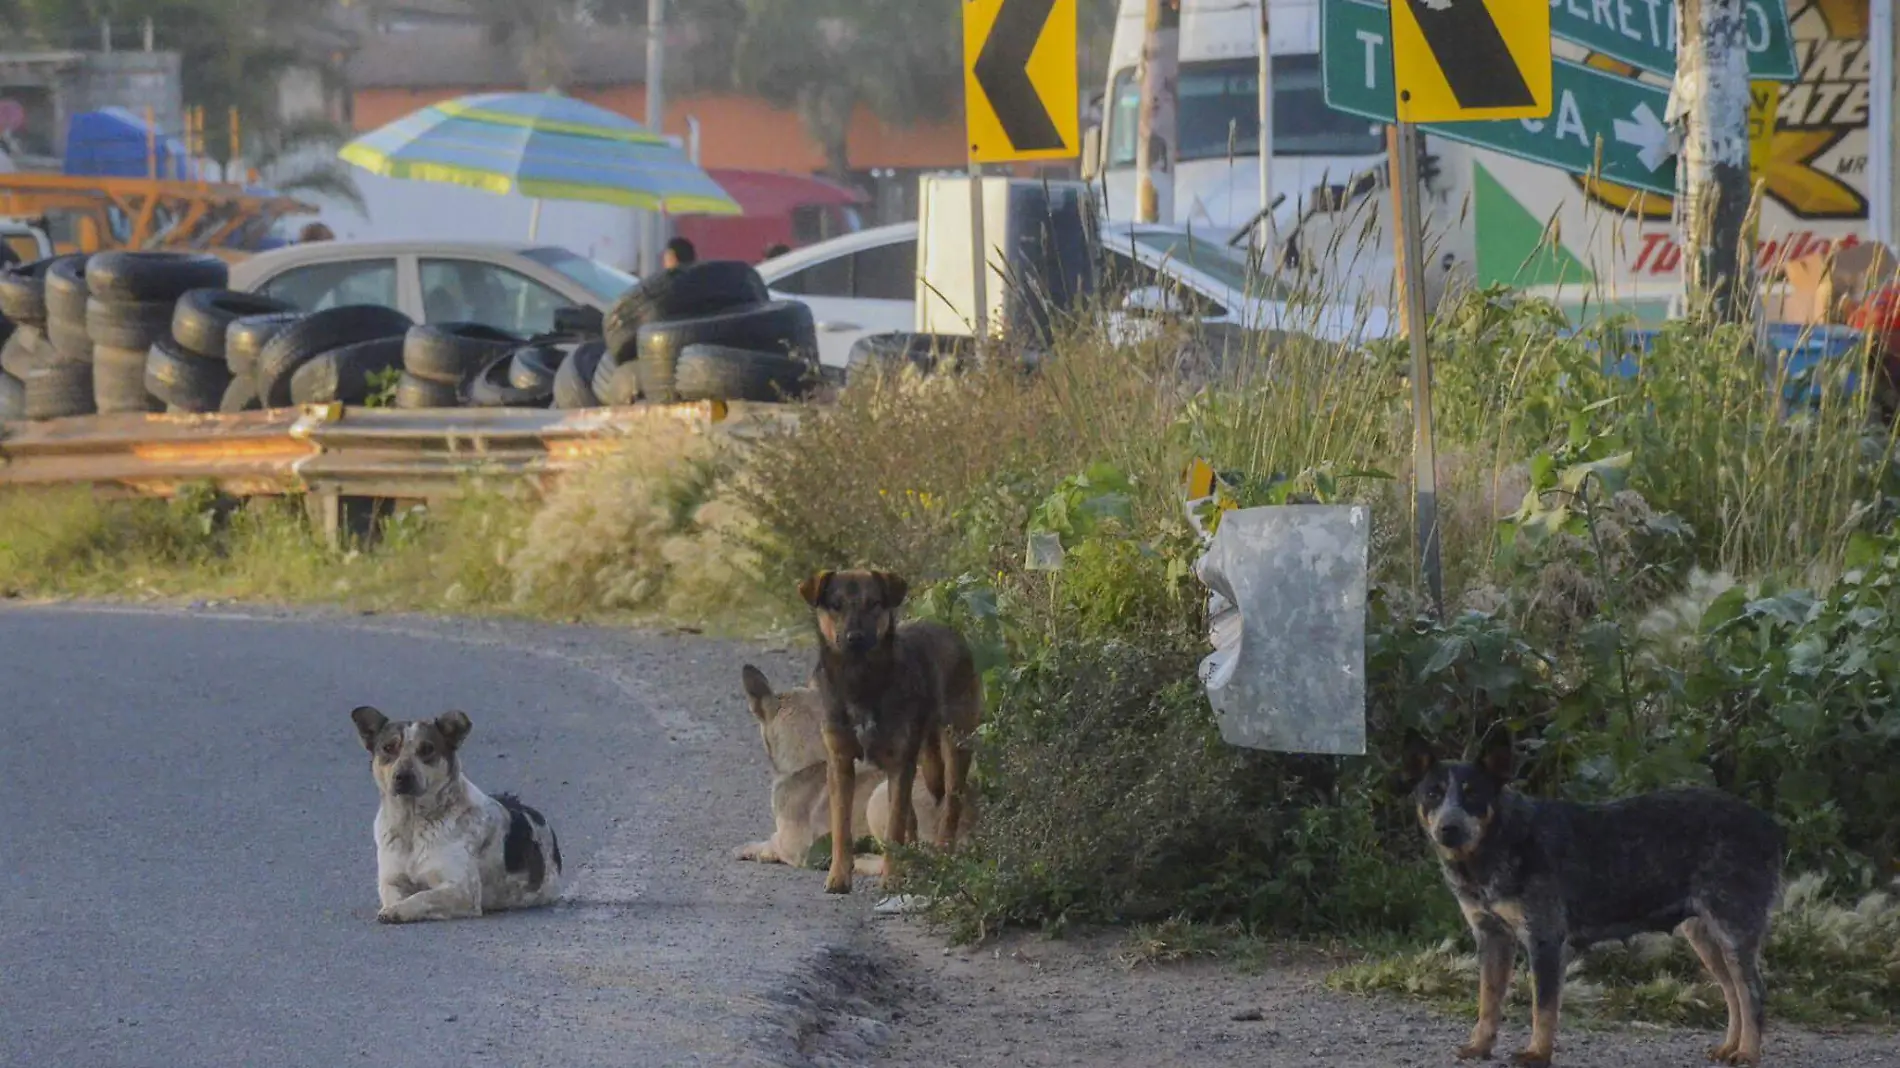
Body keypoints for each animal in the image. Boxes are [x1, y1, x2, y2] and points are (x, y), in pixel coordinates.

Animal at [351, 703, 562, 919]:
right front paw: (392, 907)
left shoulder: (462, 890)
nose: (403, 776)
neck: (411, 823)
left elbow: (422, 897)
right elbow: (396, 895)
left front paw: (396, 911)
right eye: (388, 748)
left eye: (427, 749)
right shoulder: (390, 881)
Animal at [801, 566, 980, 889]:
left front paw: (893, 876)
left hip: (956, 744)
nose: (855, 637)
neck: (860, 681)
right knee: (911, 815)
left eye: (874, 603)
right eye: (835, 605)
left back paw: (941, 855)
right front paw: (839, 876)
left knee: (950, 805)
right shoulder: (840, 763)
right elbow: (841, 825)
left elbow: (894, 826)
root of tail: (950, 630)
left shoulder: (899, 762)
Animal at [1406, 722, 1786, 1064]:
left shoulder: (1545, 938)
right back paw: (1730, 1048)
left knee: (1753, 993)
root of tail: (1771, 826)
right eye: (1433, 793)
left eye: (1473, 793)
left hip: (1733, 930)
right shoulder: (1492, 937)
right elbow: (1488, 999)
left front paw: (1537, 1053)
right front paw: (1480, 1046)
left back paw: (1747, 1053)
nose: (1448, 828)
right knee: (1733, 992)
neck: (1502, 841)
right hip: (1704, 935)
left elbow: (1543, 1006)